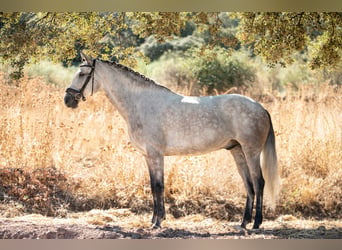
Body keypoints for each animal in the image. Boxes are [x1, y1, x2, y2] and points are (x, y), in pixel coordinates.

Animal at [65, 52, 280, 230]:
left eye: (82, 74)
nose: (68, 100)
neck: (142, 104)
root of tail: (261, 107)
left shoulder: (156, 154)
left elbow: (159, 186)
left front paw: (158, 222)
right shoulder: (148, 156)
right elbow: (153, 186)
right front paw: (154, 220)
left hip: (252, 151)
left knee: (259, 183)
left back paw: (256, 223)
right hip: (237, 151)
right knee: (249, 185)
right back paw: (243, 223)